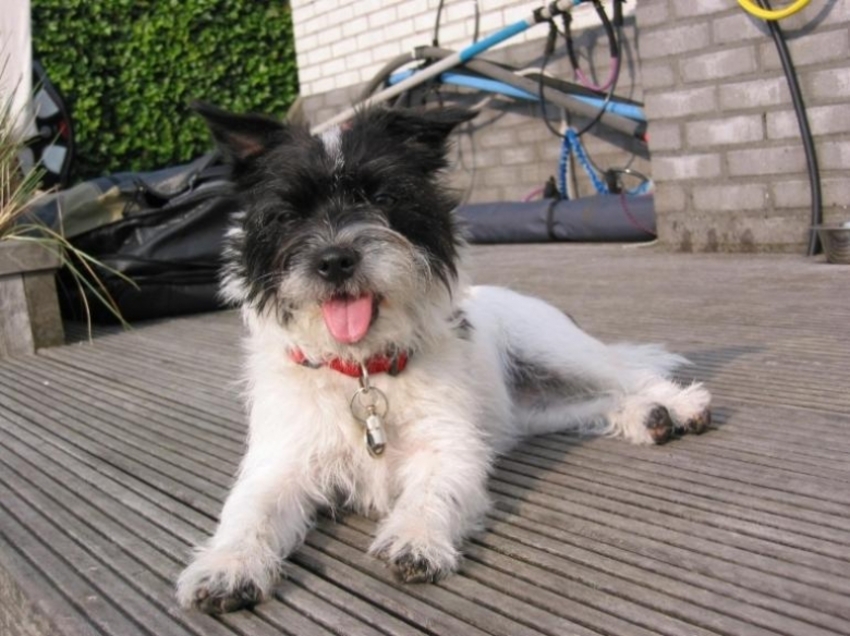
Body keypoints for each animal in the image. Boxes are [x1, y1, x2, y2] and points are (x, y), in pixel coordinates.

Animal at [176, 103, 712, 614]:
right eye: (289, 213)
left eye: (382, 198)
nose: (334, 261)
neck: (363, 370)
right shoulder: (278, 464)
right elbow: (248, 512)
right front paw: (227, 566)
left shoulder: (450, 448)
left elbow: (432, 493)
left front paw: (416, 539)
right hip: (533, 410)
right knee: (594, 402)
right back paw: (648, 417)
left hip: (555, 350)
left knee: (630, 374)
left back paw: (678, 405)